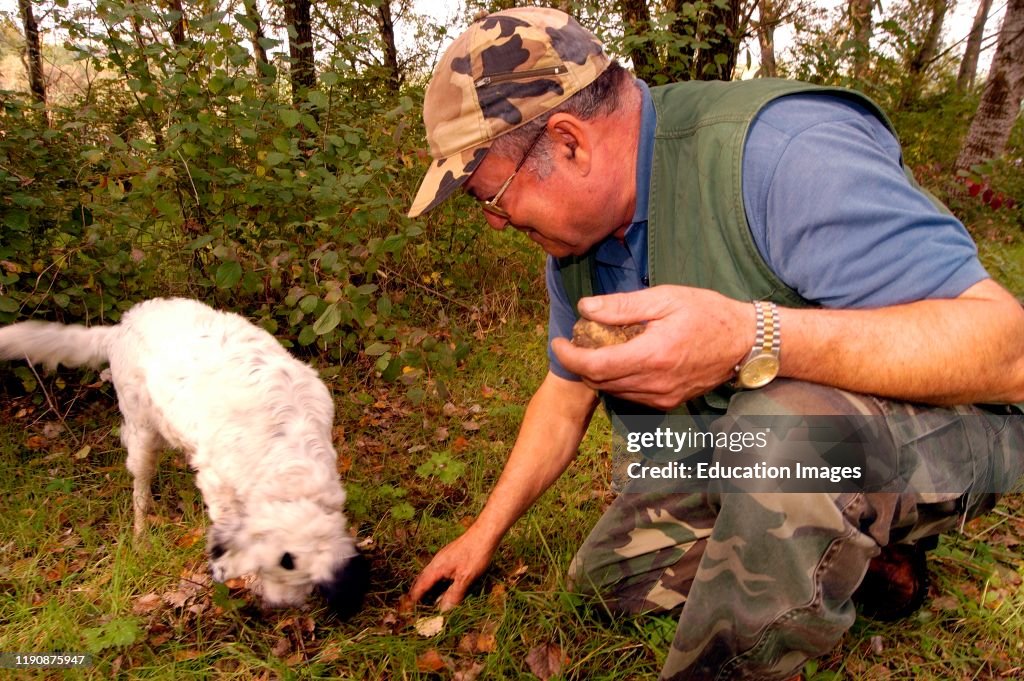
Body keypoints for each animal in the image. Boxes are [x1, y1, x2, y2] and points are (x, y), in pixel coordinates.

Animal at [0, 296, 368, 614]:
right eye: (269, 568)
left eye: (307, 578)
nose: (280, 607)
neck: (288, 466)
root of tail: (123, 324)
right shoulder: (218, 486)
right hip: (143, 434)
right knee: (140, 488)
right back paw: (141, 534)